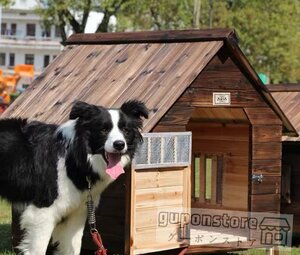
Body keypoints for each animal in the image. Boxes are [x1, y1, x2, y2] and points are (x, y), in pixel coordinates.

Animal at [0, 100, 149, 254]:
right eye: (103, 130)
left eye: (125, 130)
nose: (119, 144)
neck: (76, 157)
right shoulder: (43, 211)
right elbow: (38, 249)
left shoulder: (77, 212)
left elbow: (74, 247)